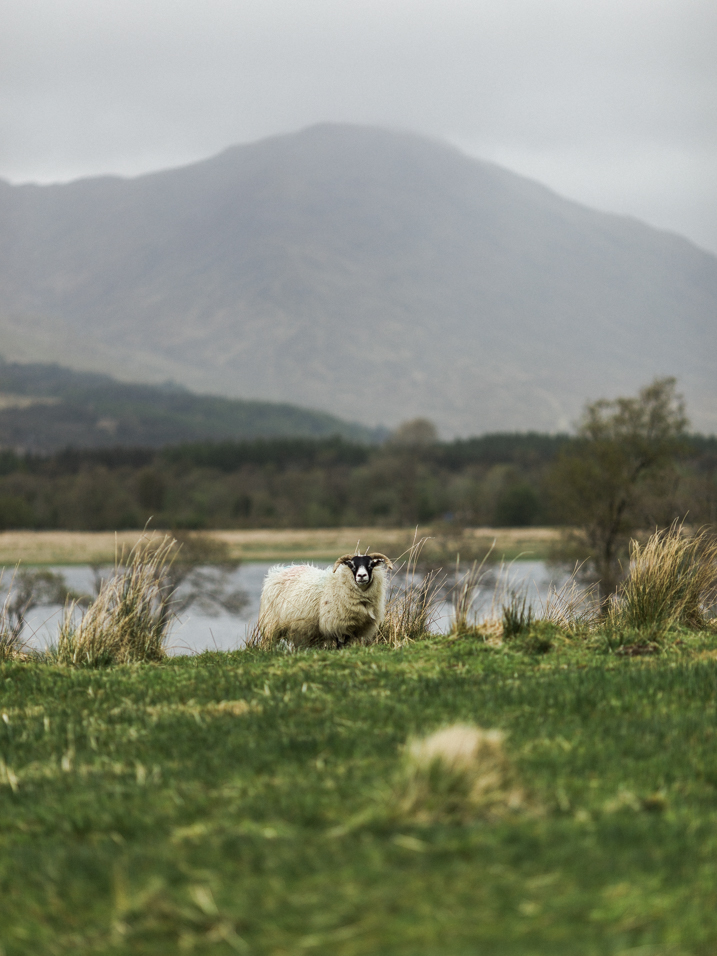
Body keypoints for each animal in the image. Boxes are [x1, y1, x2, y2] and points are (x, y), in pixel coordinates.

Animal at [256, 552, 392, 648]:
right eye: (352, 566)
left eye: (371, 565)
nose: (361, 576)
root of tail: (276, 571)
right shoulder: (337, 624)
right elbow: (340, 645)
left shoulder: (357, 628)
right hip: (270, 622)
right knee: (267, 642)